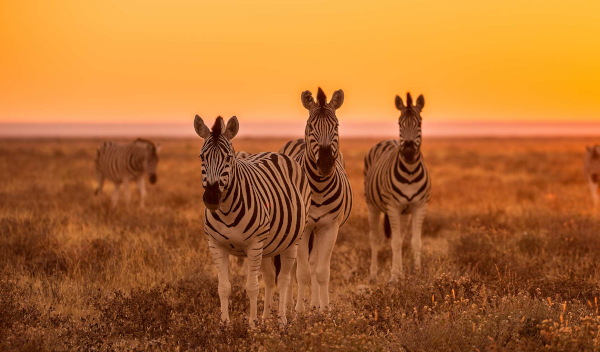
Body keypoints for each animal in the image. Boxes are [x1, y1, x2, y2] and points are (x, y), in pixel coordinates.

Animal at [195, 114, 312, 326]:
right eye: (202, 157)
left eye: (229, 157)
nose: (212, 198)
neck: (226, 211)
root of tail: (275, 153)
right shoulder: (215, 245)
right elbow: (223, 287)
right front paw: (225, 325)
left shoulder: (254, 244)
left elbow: (251, 287)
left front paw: (251, 326)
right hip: (267, 247)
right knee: (270, 277)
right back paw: (266, 319)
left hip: (292, 241)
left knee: (283, 279)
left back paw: (282, 321)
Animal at [280, 87, 354, 314]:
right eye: (311, 126)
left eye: (336, 126)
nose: (326, 164)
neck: (319, 189)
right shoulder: (304, 229)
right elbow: (301, 271)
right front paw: (299, 312)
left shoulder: (330, 227)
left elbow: (321, 270)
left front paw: (324, 310)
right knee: (293, 267)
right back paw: (289, 305)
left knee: (313, 264)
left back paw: (314, 304)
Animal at [360, 92, 432, 282]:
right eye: (400, 123)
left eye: (419, 123)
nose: (408, 152)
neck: (410, 173)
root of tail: (388, 140)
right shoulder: (392, 207)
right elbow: (395, 242)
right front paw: (393, 276)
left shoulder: (419, 206)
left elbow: (415, 241)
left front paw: (417, 272)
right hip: (372, 205)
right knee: (375, 238)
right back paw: (374, 274)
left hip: (404, 213)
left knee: (400, 235)